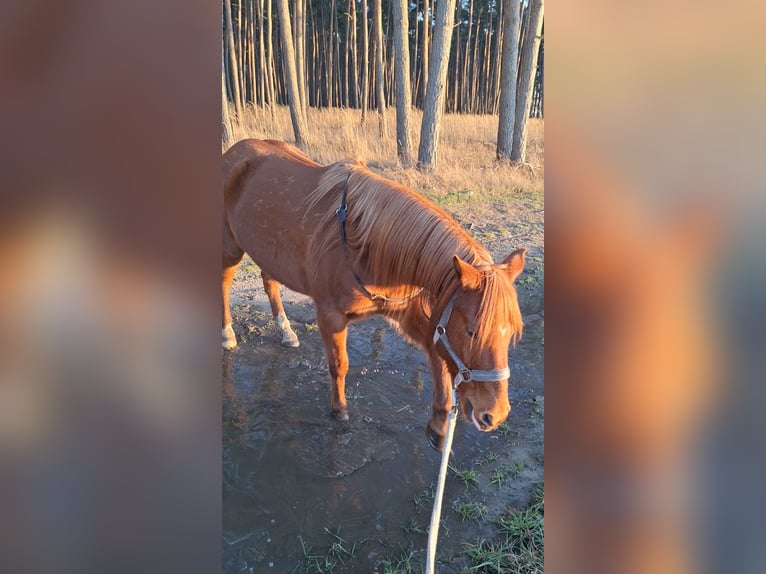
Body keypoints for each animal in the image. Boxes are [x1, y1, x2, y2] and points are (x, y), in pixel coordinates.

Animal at [219, 141, 524, 450]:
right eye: (473, 331)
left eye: (511, 332)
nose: (495, 414)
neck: (365, 243)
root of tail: (236, 151)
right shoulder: (330, 316)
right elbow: (339, 365)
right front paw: (339, 410)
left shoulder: (408, 313)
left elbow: (437, 358)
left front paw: (439, 426)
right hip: (231, 248)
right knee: (224, 282)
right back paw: (227, 334)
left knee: (270, 282)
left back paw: (286, 332)